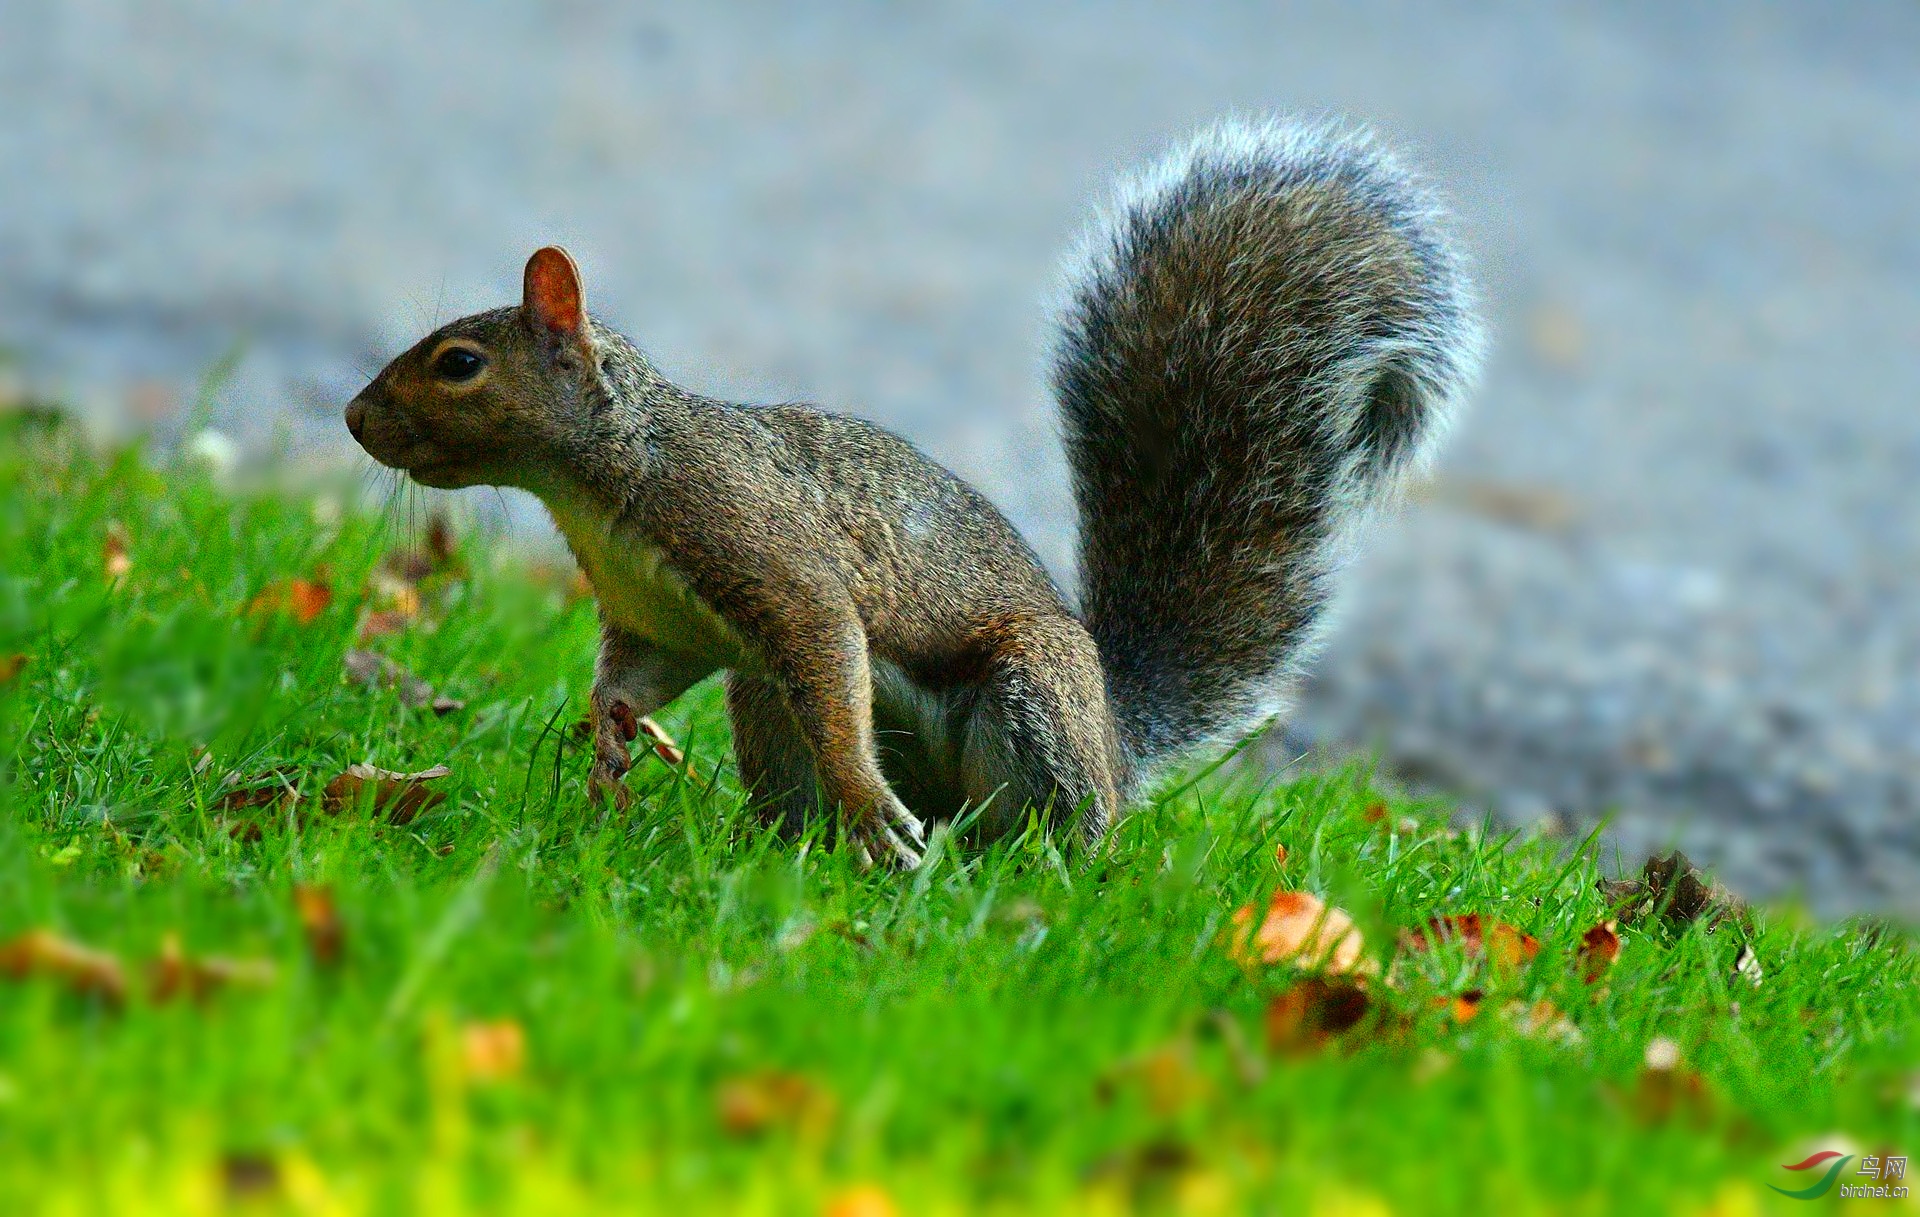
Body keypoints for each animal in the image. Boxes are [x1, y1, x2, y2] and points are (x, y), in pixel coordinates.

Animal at [345, 118, 1482, 867]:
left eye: (458, 364)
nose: (354, 419)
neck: (608, 473)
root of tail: (1117, 743)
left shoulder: (769, 556)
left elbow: (828, 647)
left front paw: (858, 792)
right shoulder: (662, 616)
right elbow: (635, 679)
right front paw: (606, 739)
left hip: (1031, 694)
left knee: (1041, 825)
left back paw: (1004, 863)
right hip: (763, 698)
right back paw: (800, 847)